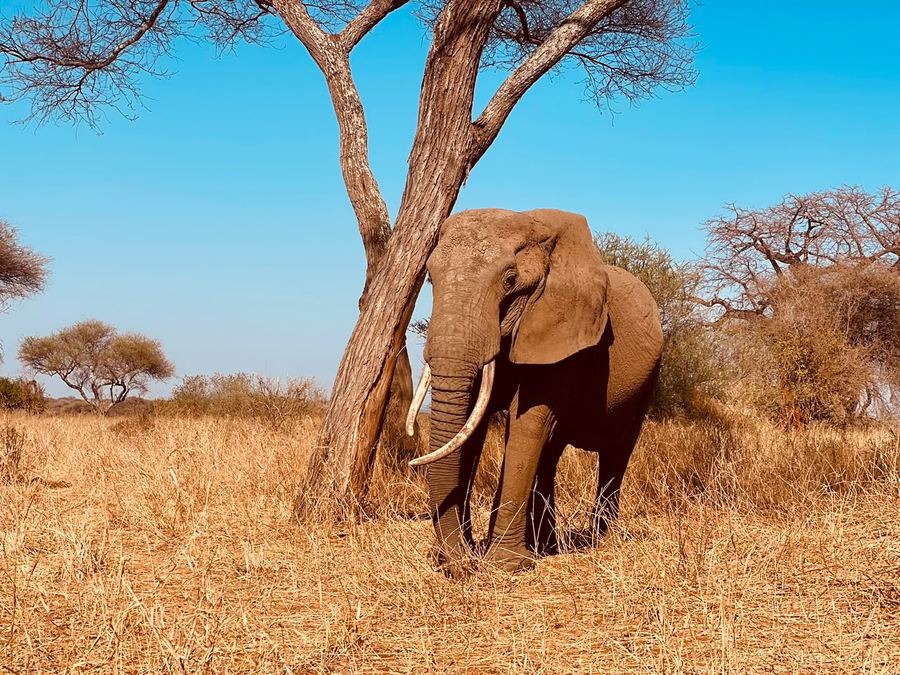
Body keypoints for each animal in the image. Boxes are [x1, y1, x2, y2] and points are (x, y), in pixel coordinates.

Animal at [405, 208, 664, 574]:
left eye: (510, 281)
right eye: (429, 279)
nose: (456, 562)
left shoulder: (561, 338)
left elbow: (526, 424)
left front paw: (503, 565)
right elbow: (472, 427)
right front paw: (468, 555)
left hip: (647, 380)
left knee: (616, 451)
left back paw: (600, 540)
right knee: (551, 453)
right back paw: (547, 546)